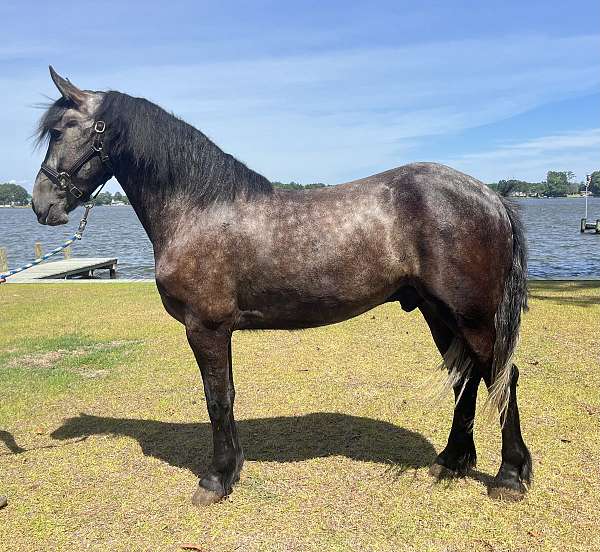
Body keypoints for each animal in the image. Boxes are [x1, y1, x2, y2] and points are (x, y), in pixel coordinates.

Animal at [31, 67, 528, 506]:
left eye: (61, 130)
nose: (41, 204)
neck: (198, 208)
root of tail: (491, 197)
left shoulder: (205, 328)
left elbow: (216, 399)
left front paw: (215, 480)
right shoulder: (217, 331)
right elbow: (226, 395)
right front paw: (232, 469)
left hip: (472, 316)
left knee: (500, 375)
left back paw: (509, 475)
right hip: (437, 312)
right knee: (466, 378)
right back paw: (452, 460)